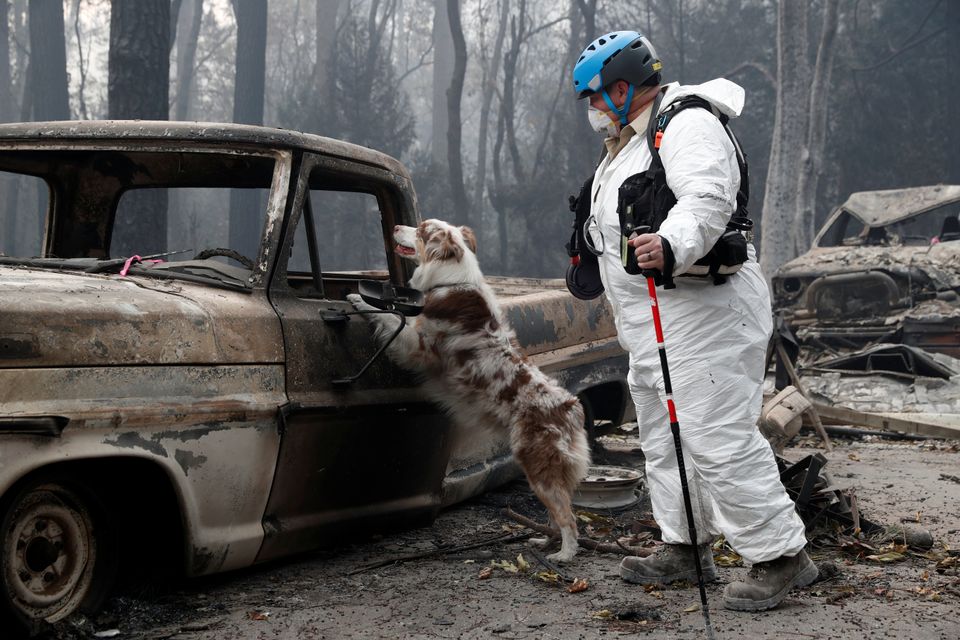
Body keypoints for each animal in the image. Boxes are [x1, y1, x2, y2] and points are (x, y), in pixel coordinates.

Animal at [348, 222, 588, 564]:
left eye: (421, 229)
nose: (395, 226)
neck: (452, 277)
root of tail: (571, 408)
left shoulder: (420, 347)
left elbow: (392, 318)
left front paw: (358, 298)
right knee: (557, 514)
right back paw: (544, 542)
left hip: (537, 465)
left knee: (568, 517)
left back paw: (564, 554)